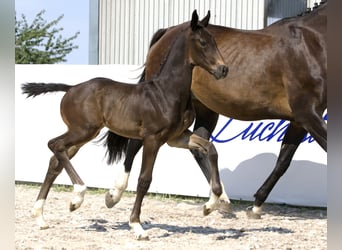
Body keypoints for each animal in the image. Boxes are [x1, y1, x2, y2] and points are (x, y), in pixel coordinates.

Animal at [21, 10, 227, 240]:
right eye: (203, 43)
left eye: (214, 41)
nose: (223, 69)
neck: (167, 92)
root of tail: (71, 88)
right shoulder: (153, 138)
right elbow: (144, 180)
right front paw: (137, 226)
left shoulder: (177, 137)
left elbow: (211, 149)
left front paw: (210, 205)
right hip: (83, 130)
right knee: (54, 145)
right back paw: (77, 195)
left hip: (84, 134)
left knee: (55, 161)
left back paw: (41, 217)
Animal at [103, 1, 328, 217]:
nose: (223, 69)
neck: (313, 43)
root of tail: (166, 32)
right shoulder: (307, 113)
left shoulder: (300, 120)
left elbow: (283, 161)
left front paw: (256, 206)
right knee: (136, 142)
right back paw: (114, 194)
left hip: (205, 109)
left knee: (200, 147)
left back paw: (219, 200)